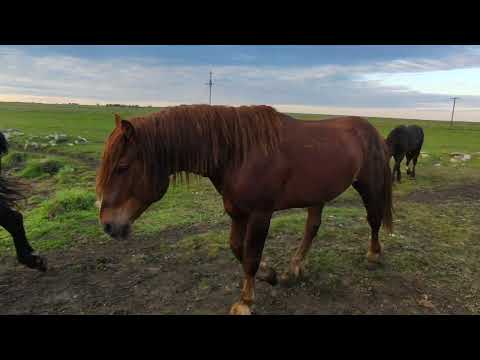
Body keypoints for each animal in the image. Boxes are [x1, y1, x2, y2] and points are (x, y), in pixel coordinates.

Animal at [95, 105, 392, 316]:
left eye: (122, 167)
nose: (108, 225)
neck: (238, 153)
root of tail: (372, 131)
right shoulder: (237, 213)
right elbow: (238, 249)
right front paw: (270, 274)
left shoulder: (261, 214)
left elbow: (251, 255)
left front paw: (245, 302)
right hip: (317, 194)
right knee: (312, 228)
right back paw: (294, 268)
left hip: (368, 185)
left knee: (373, 218)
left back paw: (373, 255)